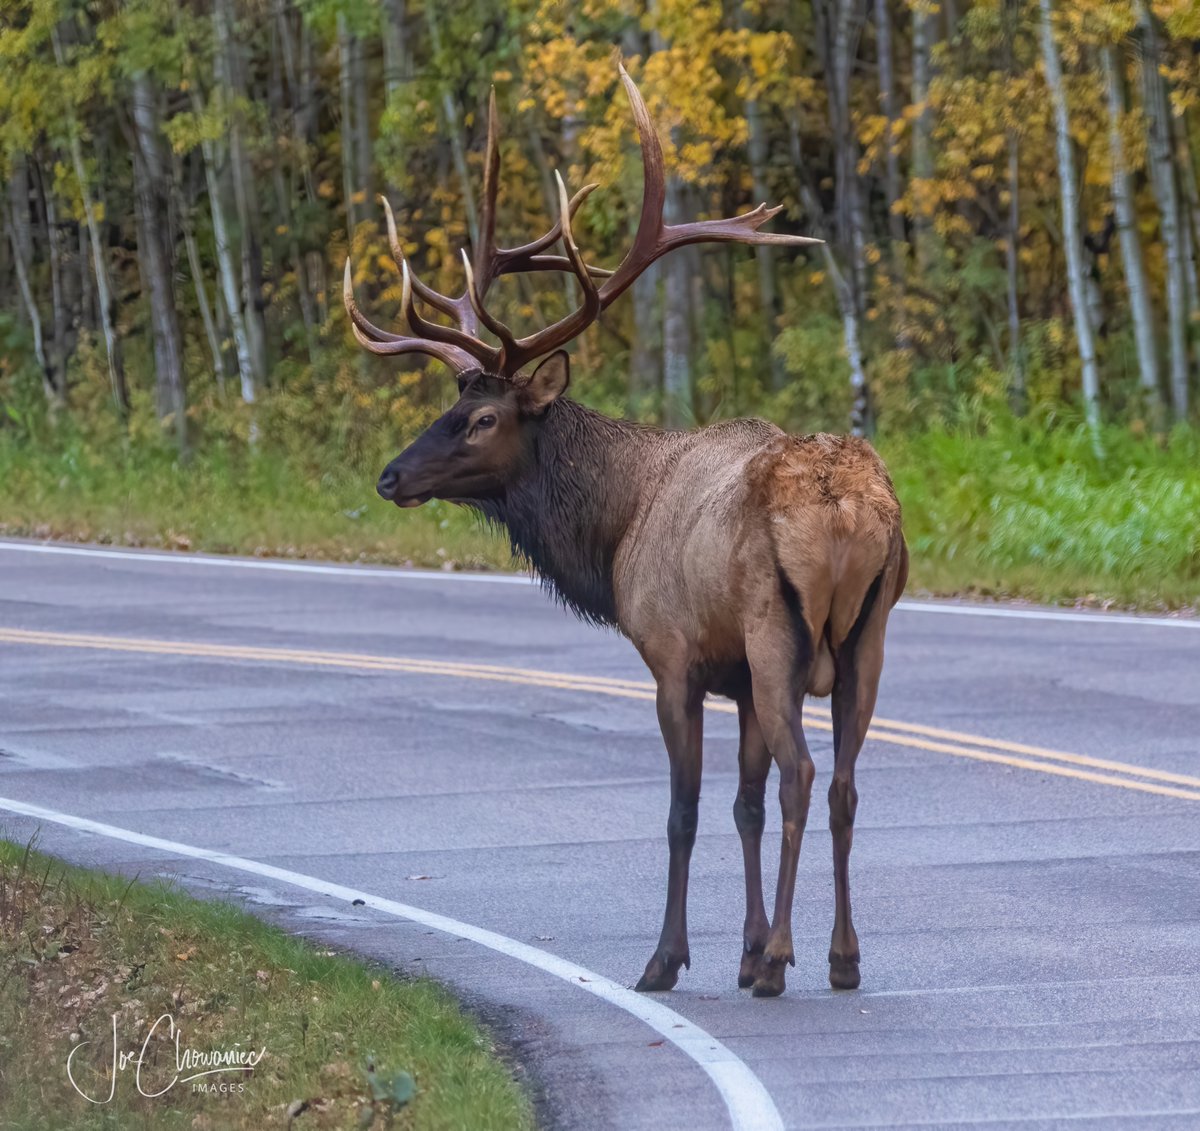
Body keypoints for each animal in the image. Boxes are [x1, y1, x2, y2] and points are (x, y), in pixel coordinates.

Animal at [344, 64, 908, 999]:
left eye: (483, 418)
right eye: (449, 406)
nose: (391, 475)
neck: (614, 534)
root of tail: (847, 509)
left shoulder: (676, 655)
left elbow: (685, 810)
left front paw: (673, 958)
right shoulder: (738, 680)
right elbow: (742, 805)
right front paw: (744, 944)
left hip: (776, 630)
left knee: (803, 775)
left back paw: (785, 961)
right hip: (869, 635)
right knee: (844, 785)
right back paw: (841, 955)